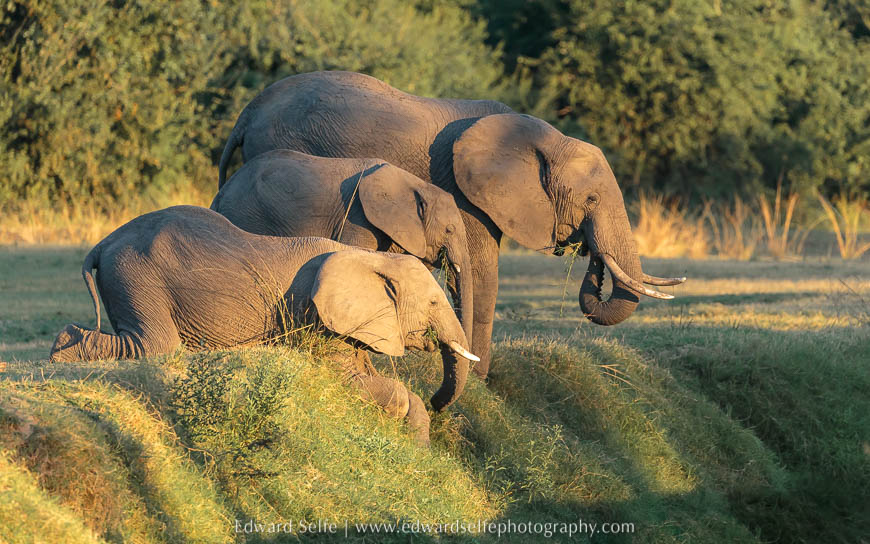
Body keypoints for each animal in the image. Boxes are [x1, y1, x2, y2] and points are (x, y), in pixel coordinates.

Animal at [48, 206, 479, 445]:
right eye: (434, 302)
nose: (442, 402)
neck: (367, 257)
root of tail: (103, 243)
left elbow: (366, 373)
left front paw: (419, 445)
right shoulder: (316, 317)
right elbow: (353, 380)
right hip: (137, 275)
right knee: (154, 345)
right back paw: (59, 353)